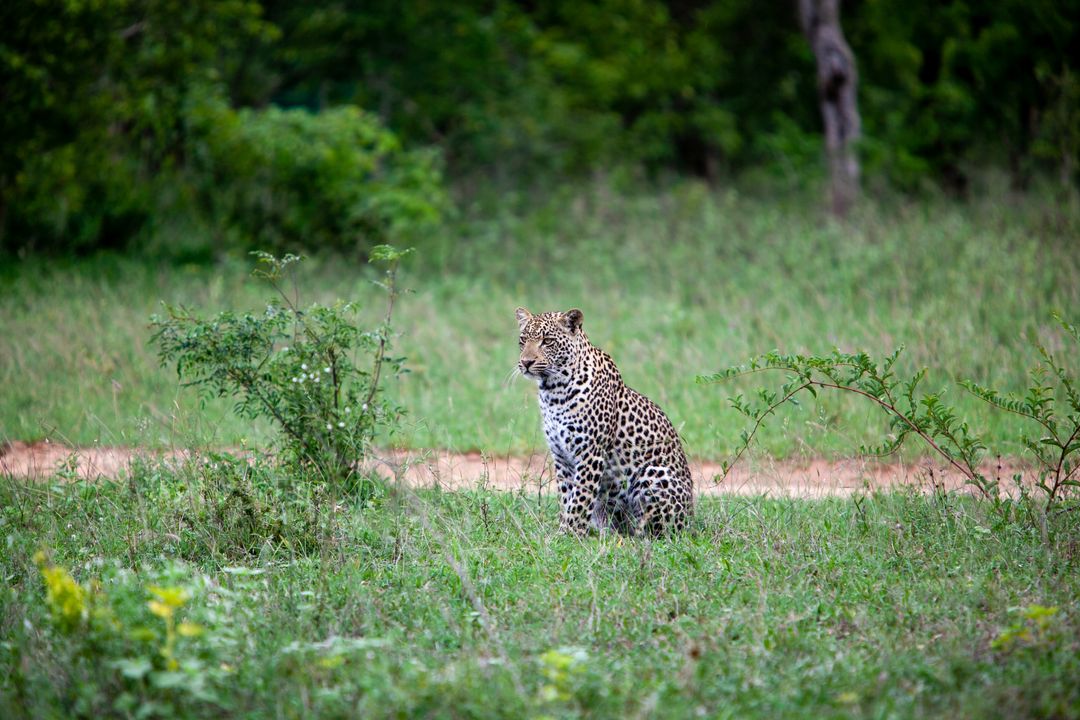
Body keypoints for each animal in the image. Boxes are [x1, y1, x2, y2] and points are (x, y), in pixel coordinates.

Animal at [515, 307, 694, 536]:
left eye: (547, 341)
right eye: (523, 340)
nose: (526, 362)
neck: (553, 391)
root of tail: (692, 519)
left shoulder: (590, 453)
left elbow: (580, 499)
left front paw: (570, 534)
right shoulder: (561, 456)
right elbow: (566, 498)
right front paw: (564, 531)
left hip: (653, 473)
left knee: (657, 531)